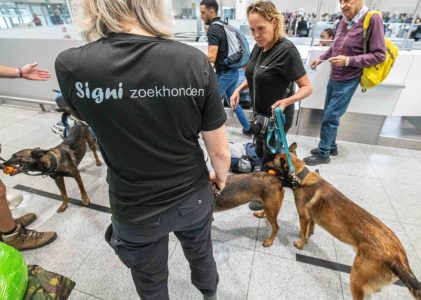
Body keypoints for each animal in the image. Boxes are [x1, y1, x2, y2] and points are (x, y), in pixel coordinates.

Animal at [266, 143, 420, 300]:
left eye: (273, 161)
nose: (265, 164)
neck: (300, 177)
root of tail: (400, 259)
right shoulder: (311, 218)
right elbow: (309, 229)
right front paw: (309, 235)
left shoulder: (303, 217)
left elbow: (304, 234)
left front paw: (301, 243)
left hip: (356, 279)